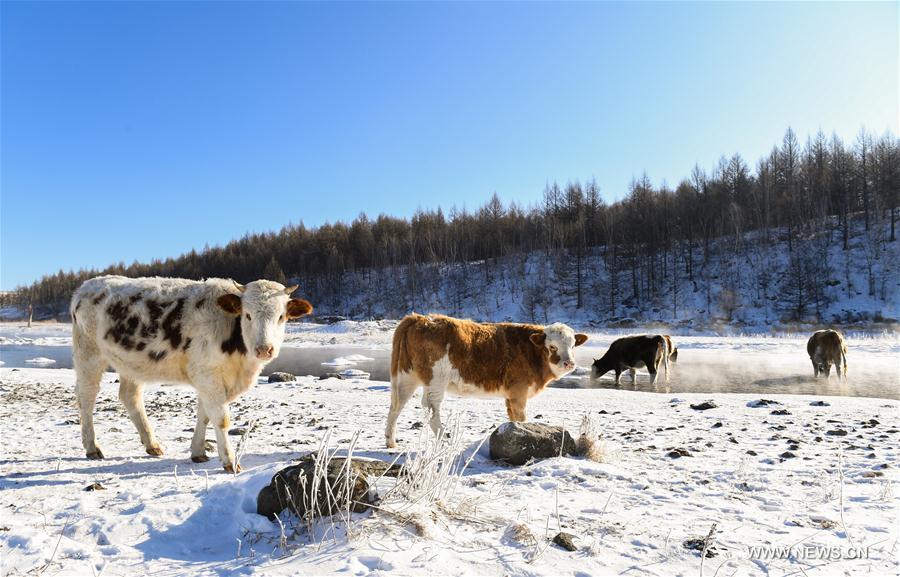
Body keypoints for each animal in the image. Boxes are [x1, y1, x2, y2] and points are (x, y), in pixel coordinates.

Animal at [69, 276, 312, 472]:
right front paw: (230, 461)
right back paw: (92, 447)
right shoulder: (208, 375)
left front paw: (198, 452)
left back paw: (152, 444)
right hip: (89, 354)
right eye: (248, 315)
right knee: (87, 398)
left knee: (130, 397)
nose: (264, 349)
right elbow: (221, 419)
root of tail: (86, 286)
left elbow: (204, 415)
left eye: (281, 316)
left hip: (130, 363)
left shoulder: (208, 380)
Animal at [384, 312, 588, 448]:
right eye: (552, 347)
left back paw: (391, 442)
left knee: (397, 405)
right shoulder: (519, 391)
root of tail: (420, 318)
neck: (530, 351)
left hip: (407, 376)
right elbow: (521, 417)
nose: (569, 363)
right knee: (431, 408)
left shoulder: (510, 395)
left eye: (573, 345)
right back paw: (443, 439)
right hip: (436, 380)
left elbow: (512, 417)